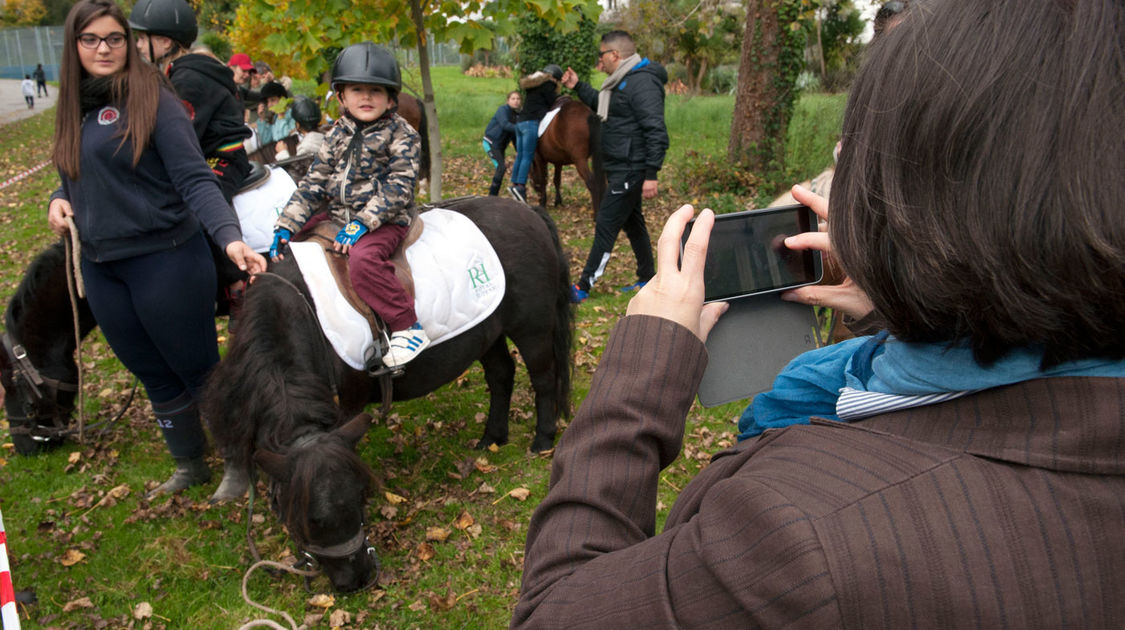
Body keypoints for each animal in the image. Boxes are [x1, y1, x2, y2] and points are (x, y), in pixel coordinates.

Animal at [200, 195, 571, 589]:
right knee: (501, 375)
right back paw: (492, 438)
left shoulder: (347, 408)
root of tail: (528, 211)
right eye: (310, 519)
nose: (358, 579)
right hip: (488, 332)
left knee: (544, 378)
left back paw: (542, 440)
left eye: (360, 497)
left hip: (532, 327)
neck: (302, 310)